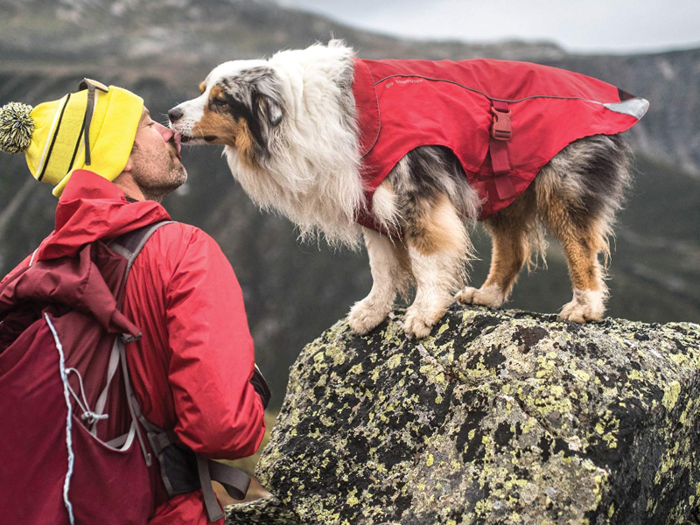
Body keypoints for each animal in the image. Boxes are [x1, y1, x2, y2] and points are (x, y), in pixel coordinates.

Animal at [167, 39, 648, 338]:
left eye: (220, 100)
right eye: (201, 91)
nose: (170, 114)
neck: (300, 114)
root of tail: (614, 95)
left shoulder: (417, 193)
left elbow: (426, 258)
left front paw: (422, 313)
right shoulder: (370, 204)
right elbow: (382, 268)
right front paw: (372, 311)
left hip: (562, 185)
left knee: (579, 245)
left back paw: (586, 306)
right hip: (501, 185)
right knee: (513, 248)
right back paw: (487, 295)